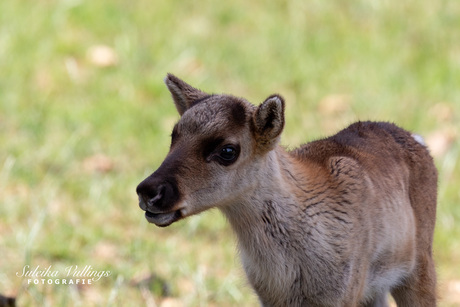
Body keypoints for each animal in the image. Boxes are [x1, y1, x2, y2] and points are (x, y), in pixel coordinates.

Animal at [137, 75, 438, 307]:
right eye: (173, 136)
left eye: (227, 151)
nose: (148, 191)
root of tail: (418, 140)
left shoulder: (344, 291)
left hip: (419, 264)